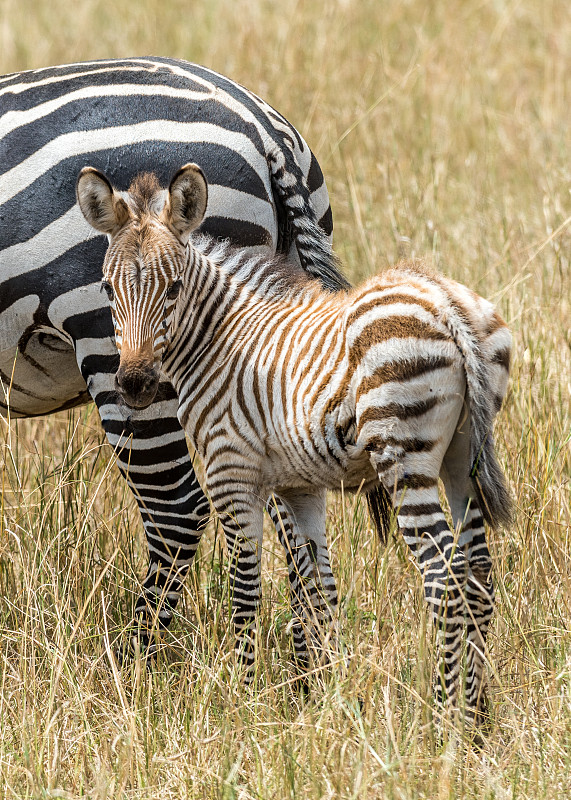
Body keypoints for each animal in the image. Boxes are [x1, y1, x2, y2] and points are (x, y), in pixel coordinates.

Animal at [77, 161, 512, 720]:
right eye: (108, 290)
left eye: (172, 289)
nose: (132, 385)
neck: (219, 340)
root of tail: (445, 304)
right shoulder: (299, 486)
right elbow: (319, 590)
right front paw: (327, 699)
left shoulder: (231, 474)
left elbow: (245, 589)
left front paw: (242, 701)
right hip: (463, 458)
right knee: (478, 579)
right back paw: (475, 719)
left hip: (404, 458)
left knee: (444, 582)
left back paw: (441, 718)